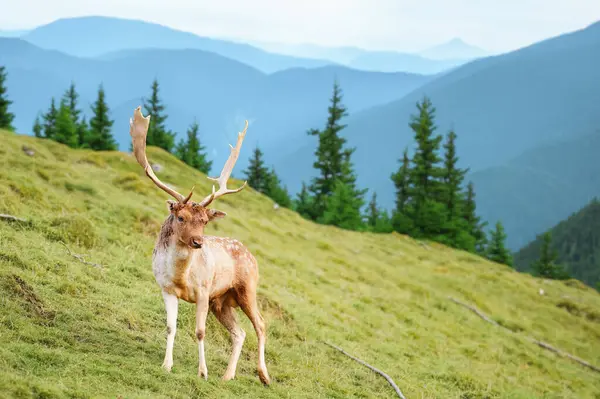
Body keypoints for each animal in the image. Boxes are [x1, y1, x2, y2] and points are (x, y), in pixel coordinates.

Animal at [131, 104, 272, 386]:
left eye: (205, 221)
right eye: (181, 217)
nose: (198, 241)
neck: (181, 277)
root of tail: (252, 256)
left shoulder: (204, 290)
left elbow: (199, 331)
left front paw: (202, 372)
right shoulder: (166, 288)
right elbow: (170, 326)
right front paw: (166, 365)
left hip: (247, 288)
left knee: (260, 325)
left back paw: (264, 376)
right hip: (223, 301)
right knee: (239, 332)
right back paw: (227, 375)